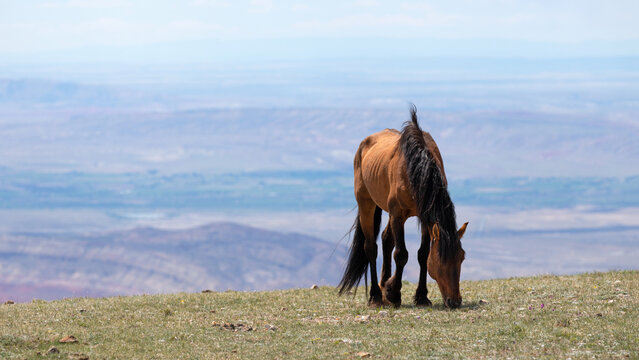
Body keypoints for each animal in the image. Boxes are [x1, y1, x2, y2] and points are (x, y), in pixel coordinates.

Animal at [338, 105, 468, 308]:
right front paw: (394, 294)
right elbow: (401, 254)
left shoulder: (424, 216)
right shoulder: (398, 215)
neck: (417, 168)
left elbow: (422, 254)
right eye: (441, 259)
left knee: (386, 239)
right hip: (366, 204)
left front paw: (421, 297)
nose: (454, 301)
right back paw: (376, 296)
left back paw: (384, 287)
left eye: (462, 256)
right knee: (371, 247)